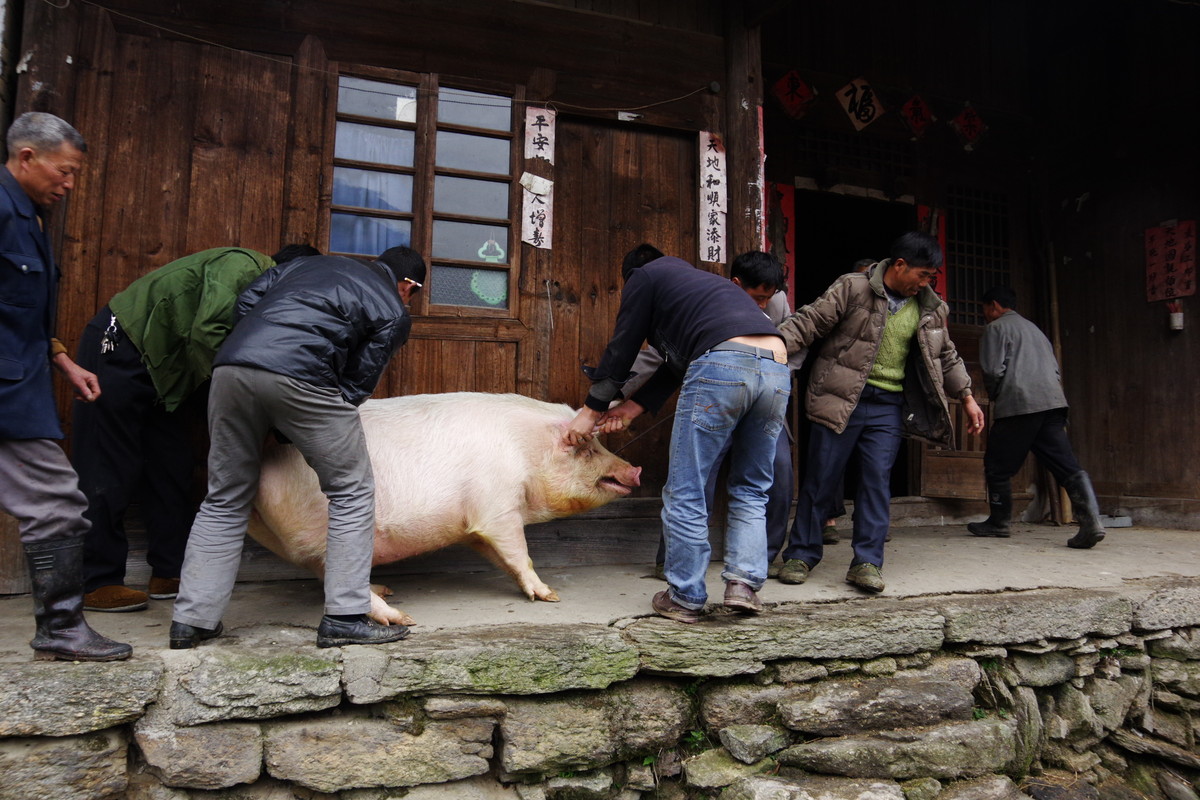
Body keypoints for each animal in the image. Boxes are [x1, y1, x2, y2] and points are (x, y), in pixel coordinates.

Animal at [247, 391, 643, 623]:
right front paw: (551, 597)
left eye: (599, 444)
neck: (526, 451)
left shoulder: (476, 525)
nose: (635, 469)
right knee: (333, 576)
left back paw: (386, 591)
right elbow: (520, 553)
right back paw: (402, 619)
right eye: (587, 449)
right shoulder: (498, 506)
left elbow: (501, 557)